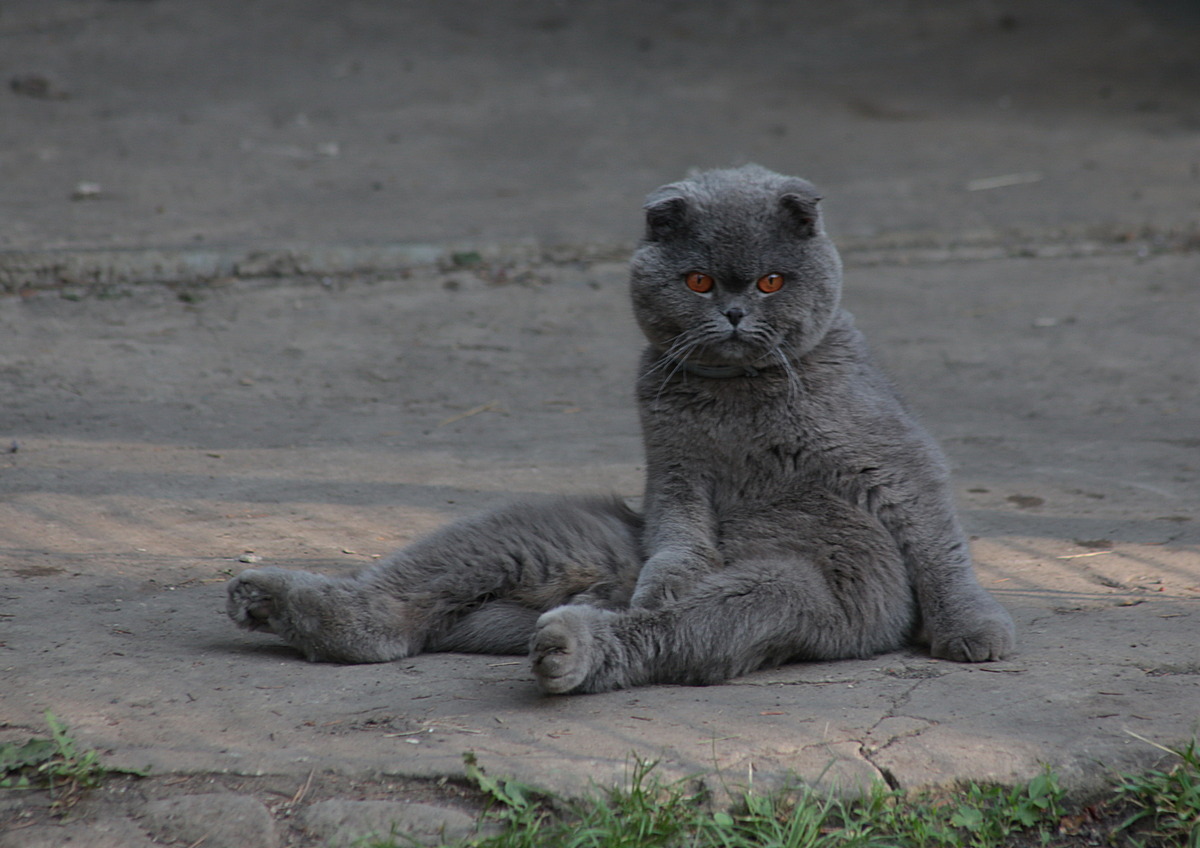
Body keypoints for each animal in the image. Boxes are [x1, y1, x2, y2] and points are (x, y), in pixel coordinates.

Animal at [225, 165, 1012, 695]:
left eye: (770, 282)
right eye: (698, 281)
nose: (732, 313)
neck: (741, 395)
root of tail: (595, 588)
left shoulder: (897, 462)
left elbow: (938, 542)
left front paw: (972, 632)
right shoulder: (674, 470)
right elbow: (680, 535)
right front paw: (669, 577)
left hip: (791, 590)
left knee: (672, 628)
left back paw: (568, 648)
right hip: (544, 532)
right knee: (395, 612)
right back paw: (273, 603)